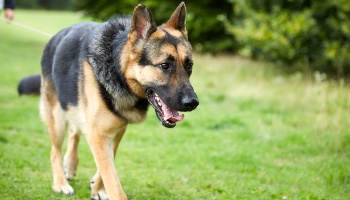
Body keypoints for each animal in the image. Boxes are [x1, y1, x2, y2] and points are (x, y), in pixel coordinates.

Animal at [39, 1, 198, 200]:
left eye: (189, 66)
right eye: (164, 66)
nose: (192, 102)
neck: (117, 70)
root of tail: (55, 37)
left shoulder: (116, 130)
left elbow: (109, 161)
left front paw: (97, 187)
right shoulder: (98, 134)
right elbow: (112, 178)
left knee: (74, 131)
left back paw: (71, 164)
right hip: (57, 118)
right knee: (55, 151)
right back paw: (60, 183)